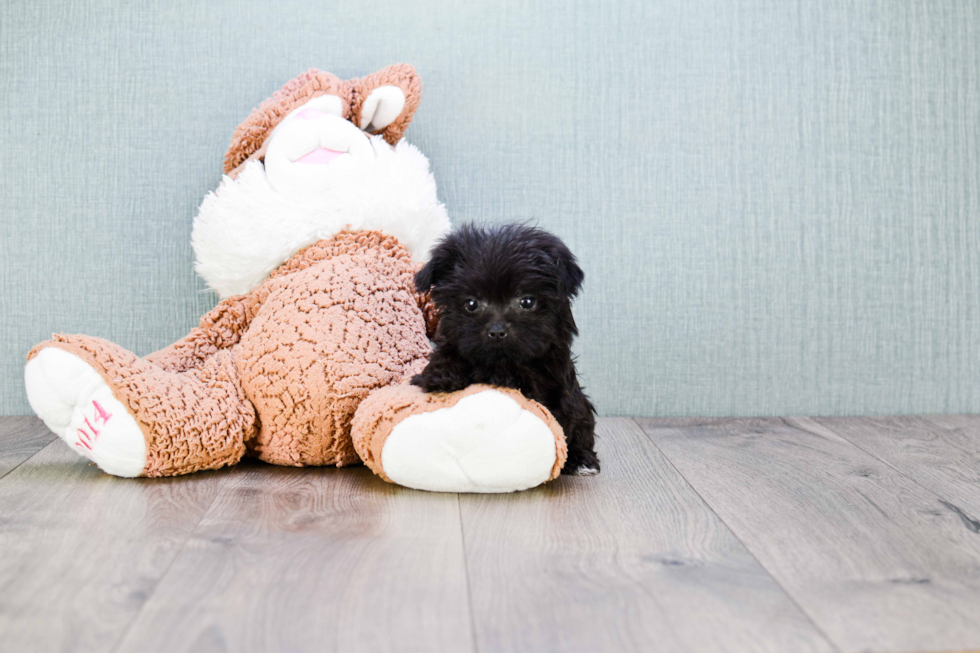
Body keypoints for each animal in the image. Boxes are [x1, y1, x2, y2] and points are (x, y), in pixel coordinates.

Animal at [412, 224, 596, 474]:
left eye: (527, 302)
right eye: (471, 304)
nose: (497, 330)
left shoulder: (549, 381)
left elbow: (523, 376)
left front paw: (497, 372)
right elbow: (447, 355)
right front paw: (442, 374)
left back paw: (581, 460)